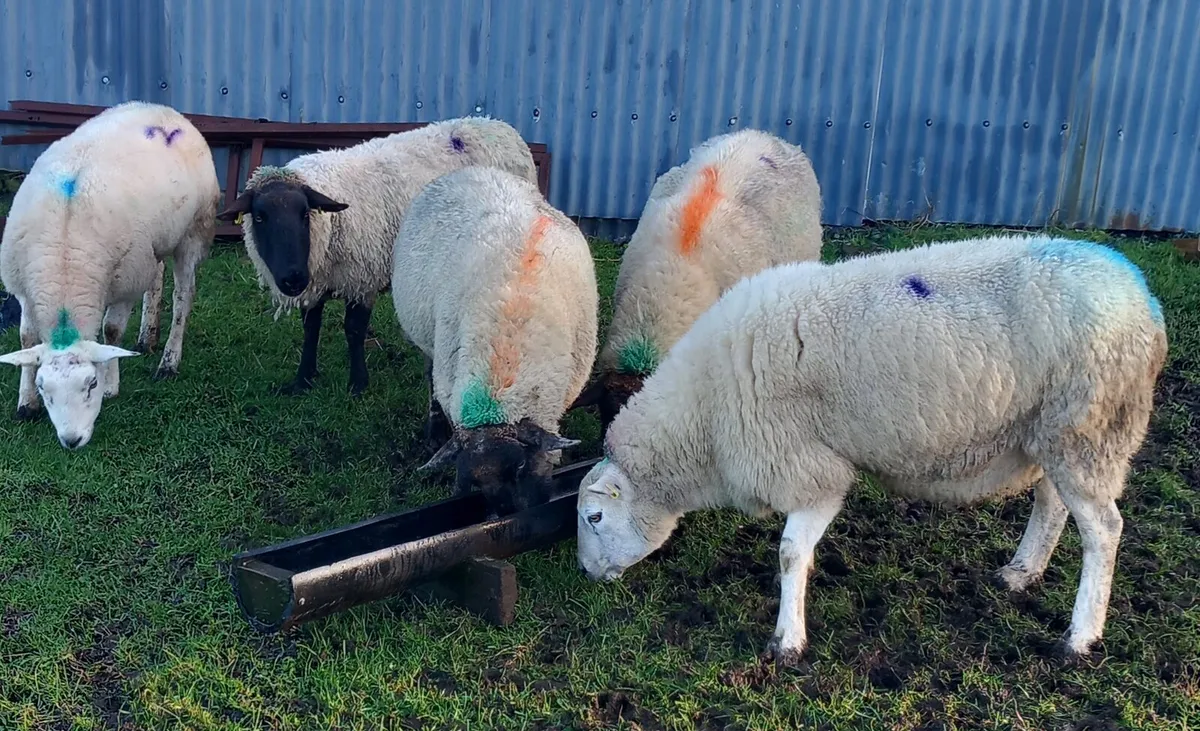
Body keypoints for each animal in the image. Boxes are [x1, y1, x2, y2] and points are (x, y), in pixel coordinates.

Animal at [0, 100, 219, 449]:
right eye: (45, 388)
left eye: (90, 384)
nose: (72, 440)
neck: (65, 267)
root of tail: (165, 111)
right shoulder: (24, 290)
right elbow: (27, 338)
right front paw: (26, 403)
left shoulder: (125, 279)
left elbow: (112, 331)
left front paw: (111, 386)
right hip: (153, 241)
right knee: (156, 278)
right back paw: (147, 337)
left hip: (193, 232)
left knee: (183, 296)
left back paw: (168, 361)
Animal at [216, 116, 539, 396]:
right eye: (259, 217)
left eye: (304, 213)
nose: (292, 278)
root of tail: (499, 125)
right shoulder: (316, 282)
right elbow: (311, 329)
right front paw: (303, 379)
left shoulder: (363, 278)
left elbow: (353, 330)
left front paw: (358, 383)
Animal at [575, 234, 1167, 667]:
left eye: (594, 516)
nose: (586, 576)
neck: (702, 417)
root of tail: (1144, 296)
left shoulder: (807, 467)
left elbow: (790, 552)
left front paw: (787, 642)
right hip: (1055, 431)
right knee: (1051, 503)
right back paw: (1021, 573)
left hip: (1089, 427)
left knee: (1103, 531)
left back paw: (1081, 637)